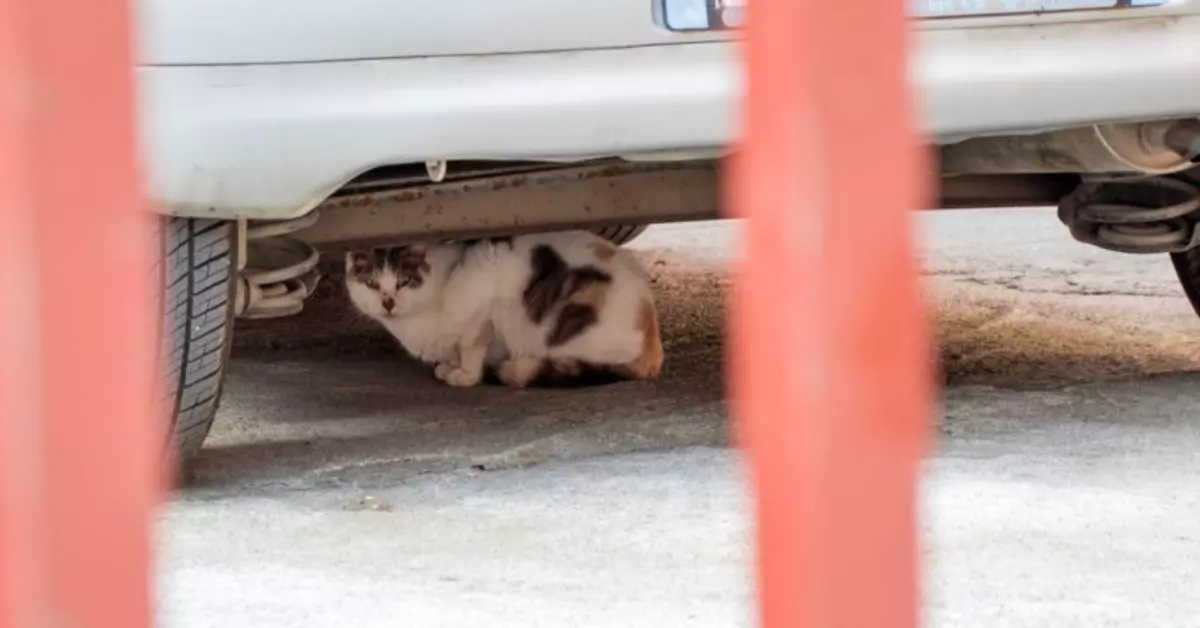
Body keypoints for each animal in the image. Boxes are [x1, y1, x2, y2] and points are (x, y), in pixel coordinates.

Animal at [345, 230, 667, 389]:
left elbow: (471, 347)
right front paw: (449, 367)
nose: (387, 302)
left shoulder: (481, 307)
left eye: (403, 282)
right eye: (372, 283)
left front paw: (465, 375)